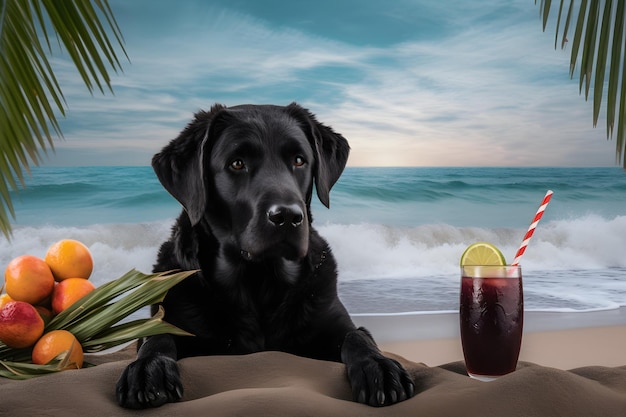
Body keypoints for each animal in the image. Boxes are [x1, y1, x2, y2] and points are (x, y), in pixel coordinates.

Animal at [116, 103, 414, 406]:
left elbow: (359, 336)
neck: (259, 281)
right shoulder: (171, 320)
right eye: (237, 163)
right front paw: (148, 370)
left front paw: (379, 366)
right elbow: (157, 339)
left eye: (299, 160)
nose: (288, 217)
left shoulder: (334, 322)